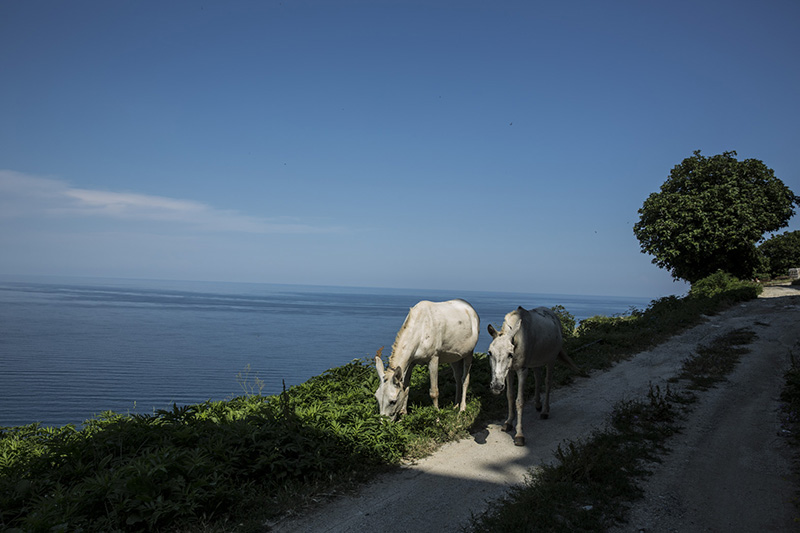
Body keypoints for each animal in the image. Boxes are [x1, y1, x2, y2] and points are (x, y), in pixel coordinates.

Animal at [488, 306, 580, 442]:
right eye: (490, 353)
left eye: (510, 354)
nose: (496, 386)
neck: (517, 339)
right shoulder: (510, 371)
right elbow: (510, 396)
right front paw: (508, 422)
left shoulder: (522, 371)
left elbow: (519, 401)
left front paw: (519, 435)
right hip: (536, 361)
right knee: (538, 378)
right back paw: (537, 404)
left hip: (551, 360)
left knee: (547, 382)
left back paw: (545, 411)